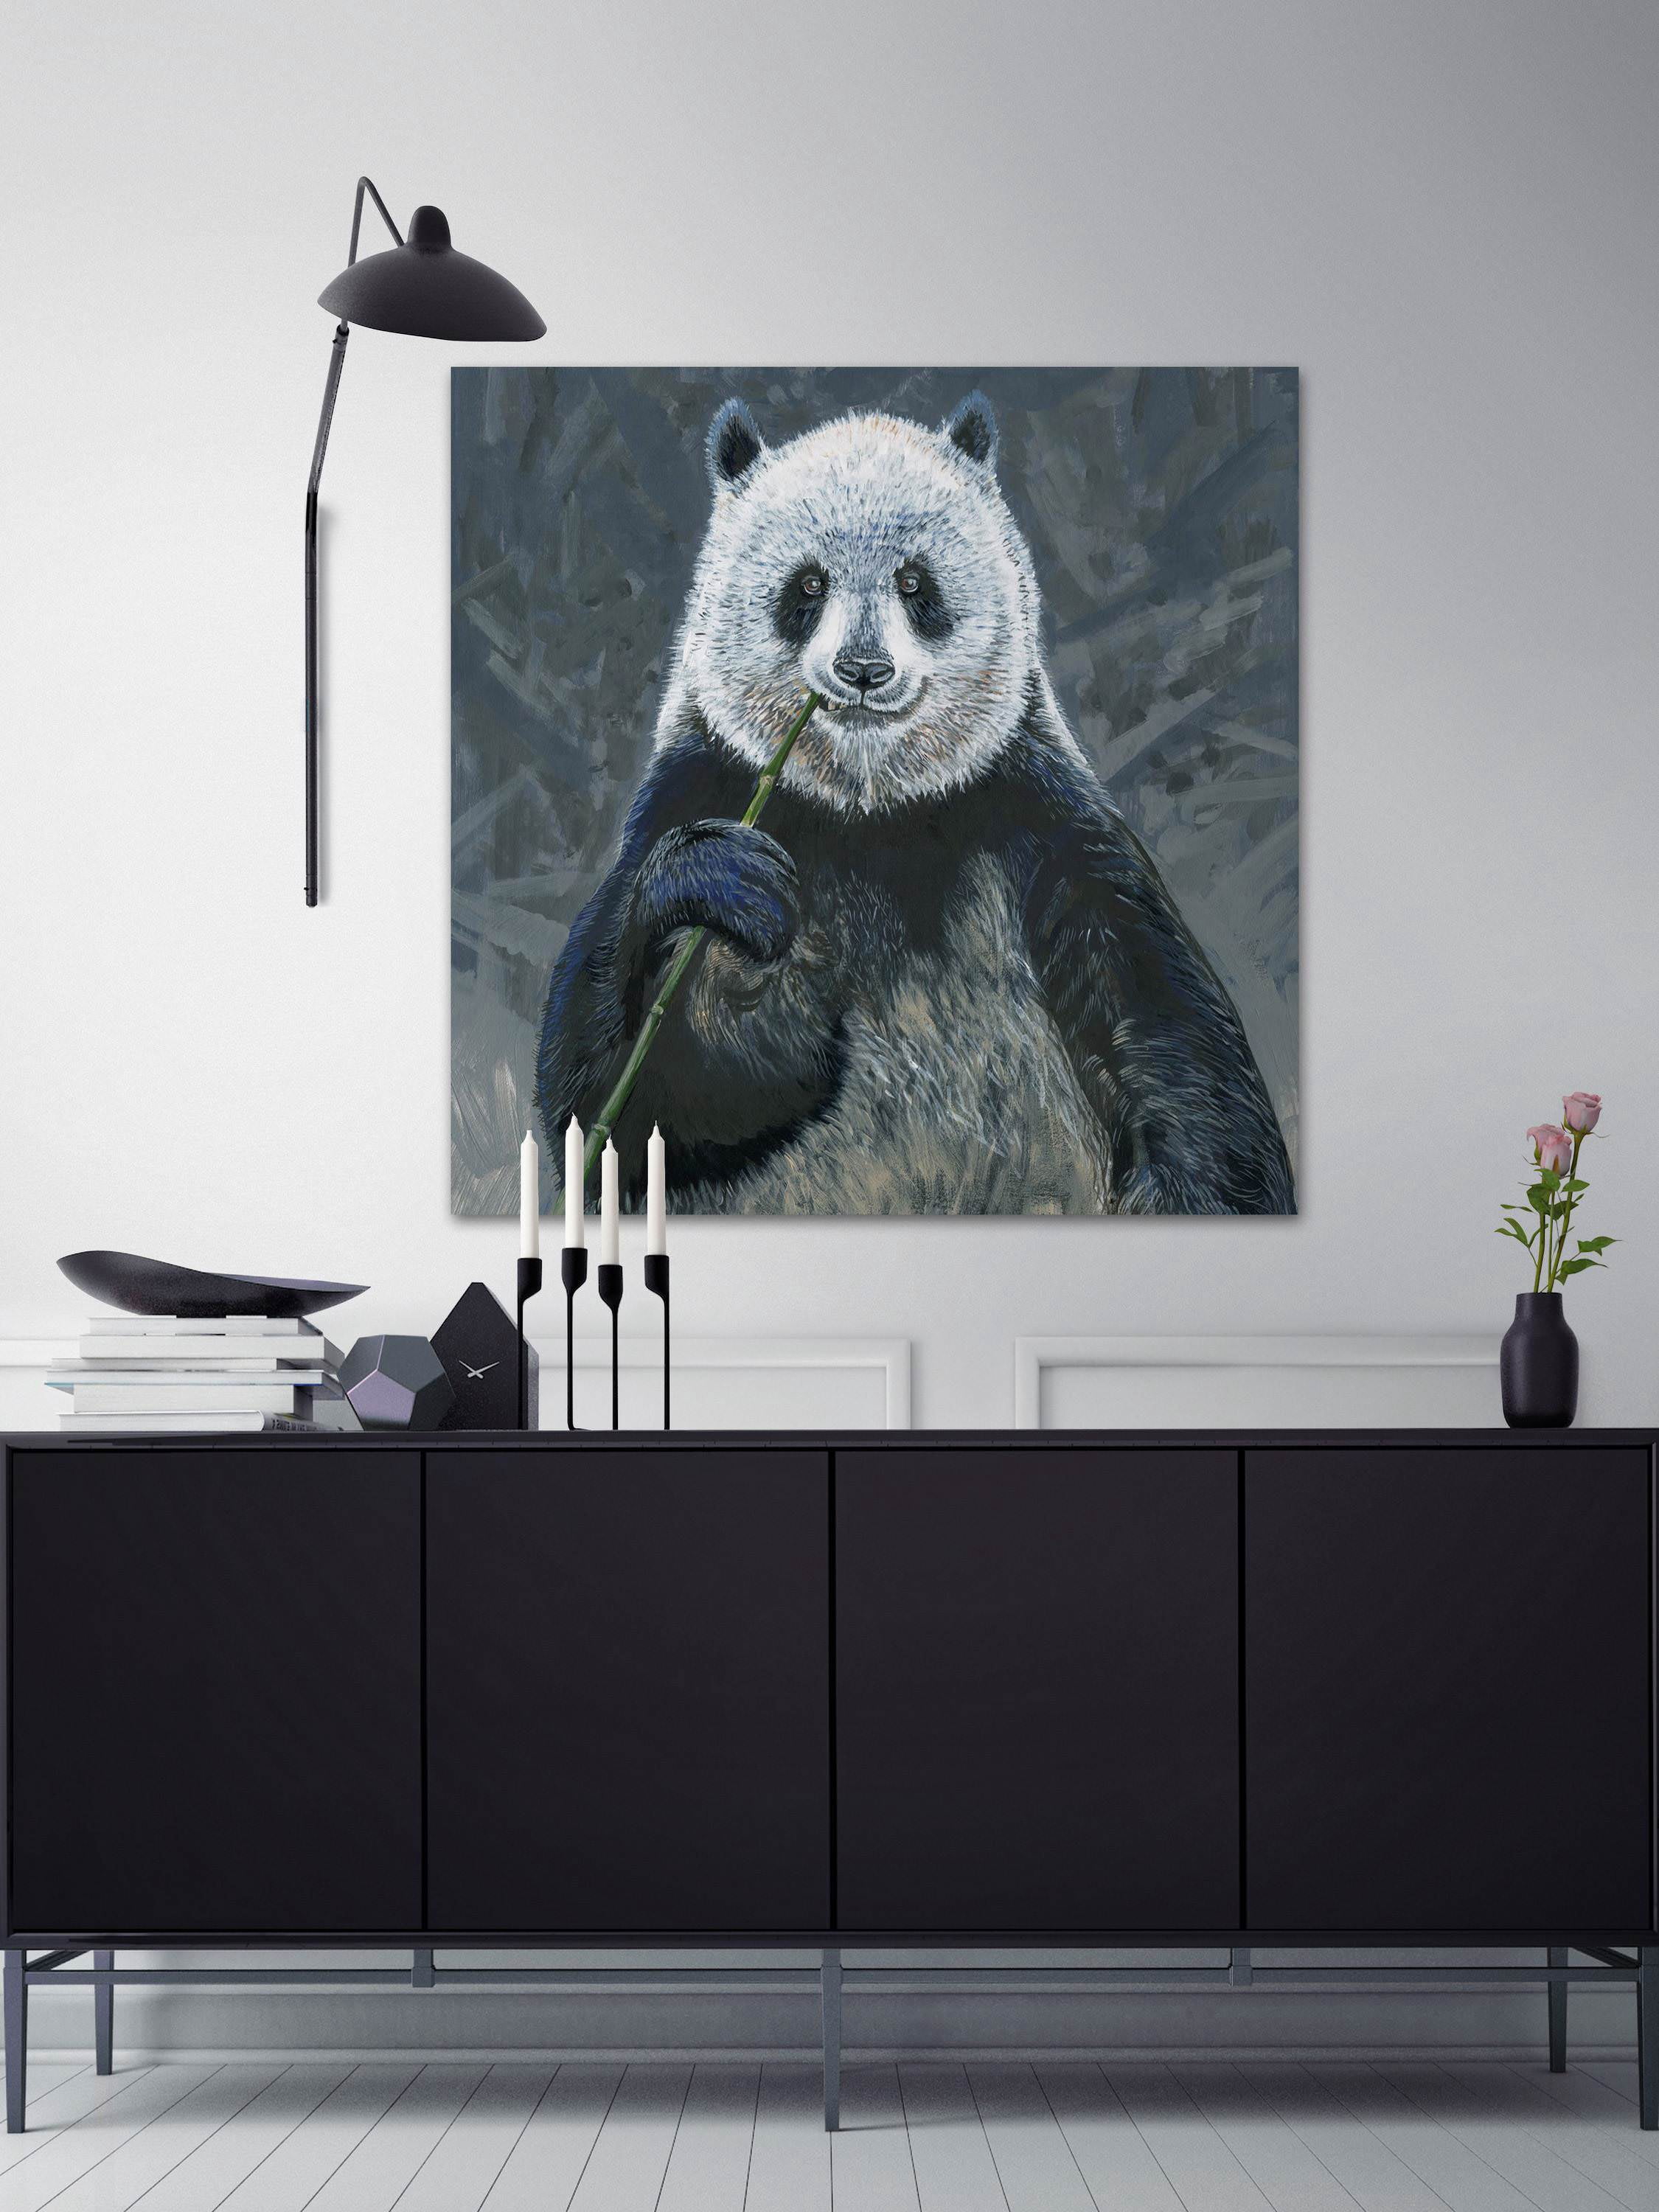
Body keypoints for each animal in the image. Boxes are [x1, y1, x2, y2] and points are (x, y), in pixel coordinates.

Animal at [536, 392, 1294, 1216]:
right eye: (807, 586)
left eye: (914, 583)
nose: (863, 670)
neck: (872, 810)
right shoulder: (709, 779)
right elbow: (620, 1112)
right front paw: (732, 923)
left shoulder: (1036, 815)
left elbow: (1168, 1040)